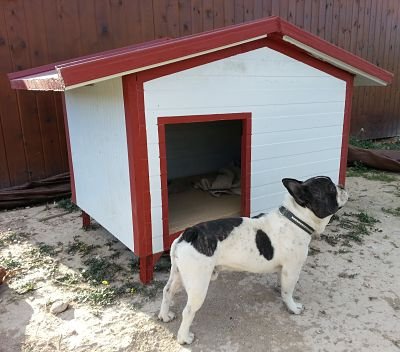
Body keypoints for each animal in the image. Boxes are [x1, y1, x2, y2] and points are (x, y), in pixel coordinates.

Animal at [158, 176, 348, 344]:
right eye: (330, 189)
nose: (341, 185)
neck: (295, 219)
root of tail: (190, 233)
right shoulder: (293, 269)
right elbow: (288, 292)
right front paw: (293, 307)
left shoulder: (284, 270)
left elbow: (282, 284)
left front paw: (279, 288)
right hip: (198, 283)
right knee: (188, 311)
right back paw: (184, 338)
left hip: (179, 274)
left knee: (167, 291)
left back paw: (165, 315)